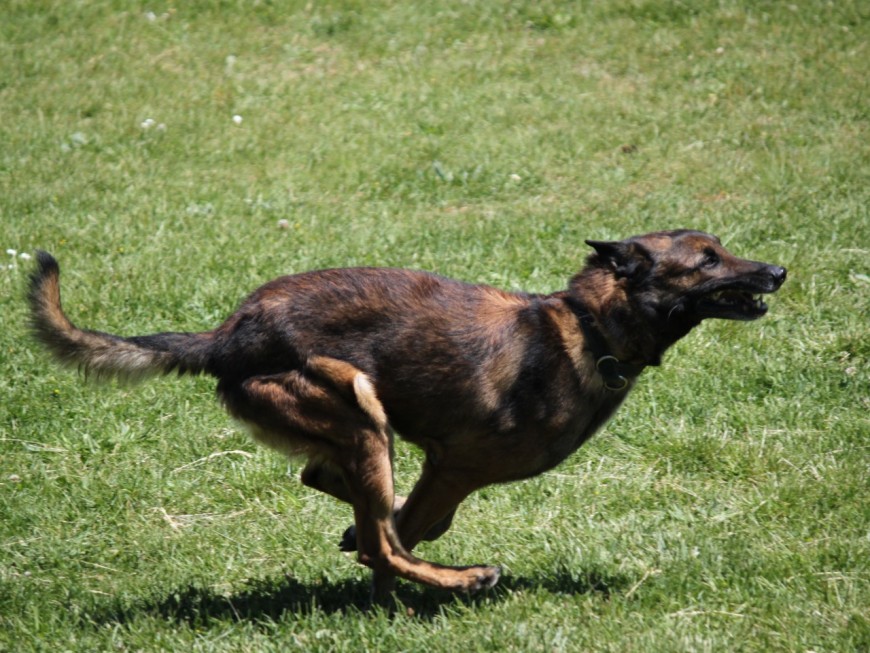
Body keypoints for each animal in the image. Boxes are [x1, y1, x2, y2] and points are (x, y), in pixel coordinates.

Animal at [29, 229, 792, 600]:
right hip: (362, 407)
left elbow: (392, 518)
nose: (778, 272)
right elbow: (407, 527)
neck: (588, 325)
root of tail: (229, 335)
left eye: (722, 248)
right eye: (706, 259)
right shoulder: (455, 465)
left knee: (340, 495)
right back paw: (463, 578)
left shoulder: (436, 468)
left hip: (356, 425)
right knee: (383, 541)